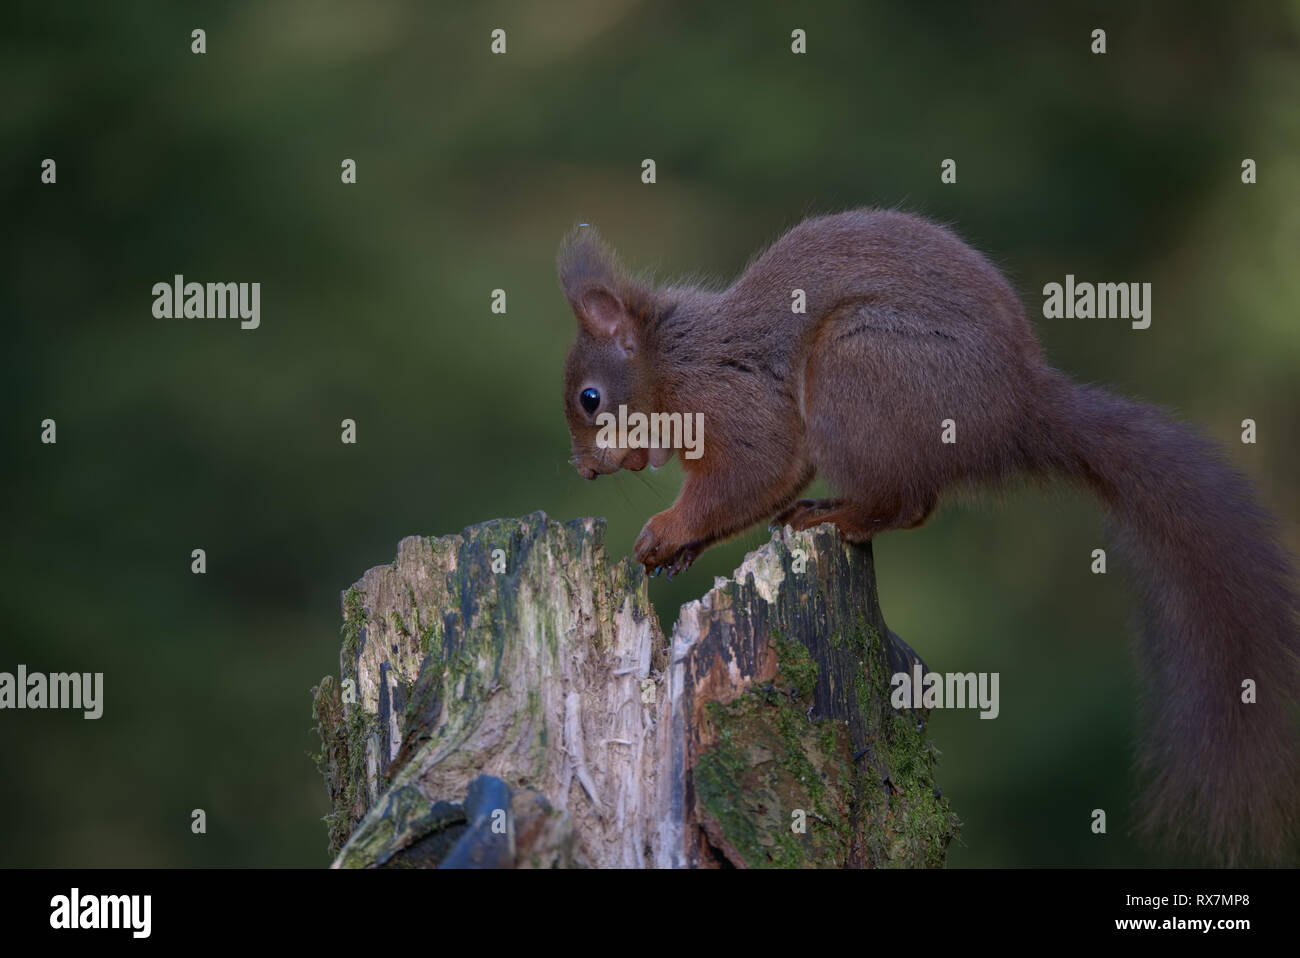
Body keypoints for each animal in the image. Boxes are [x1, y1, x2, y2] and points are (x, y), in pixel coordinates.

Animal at [556, 208, 1300, 865]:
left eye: (591, 399)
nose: (585, 471)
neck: (670, 360)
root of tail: (1018, 412)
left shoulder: (732, 400)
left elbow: (758, 469)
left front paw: (664, 531)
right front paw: (676, 551)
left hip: (860, 367)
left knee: (906, 502)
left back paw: (836, 517)